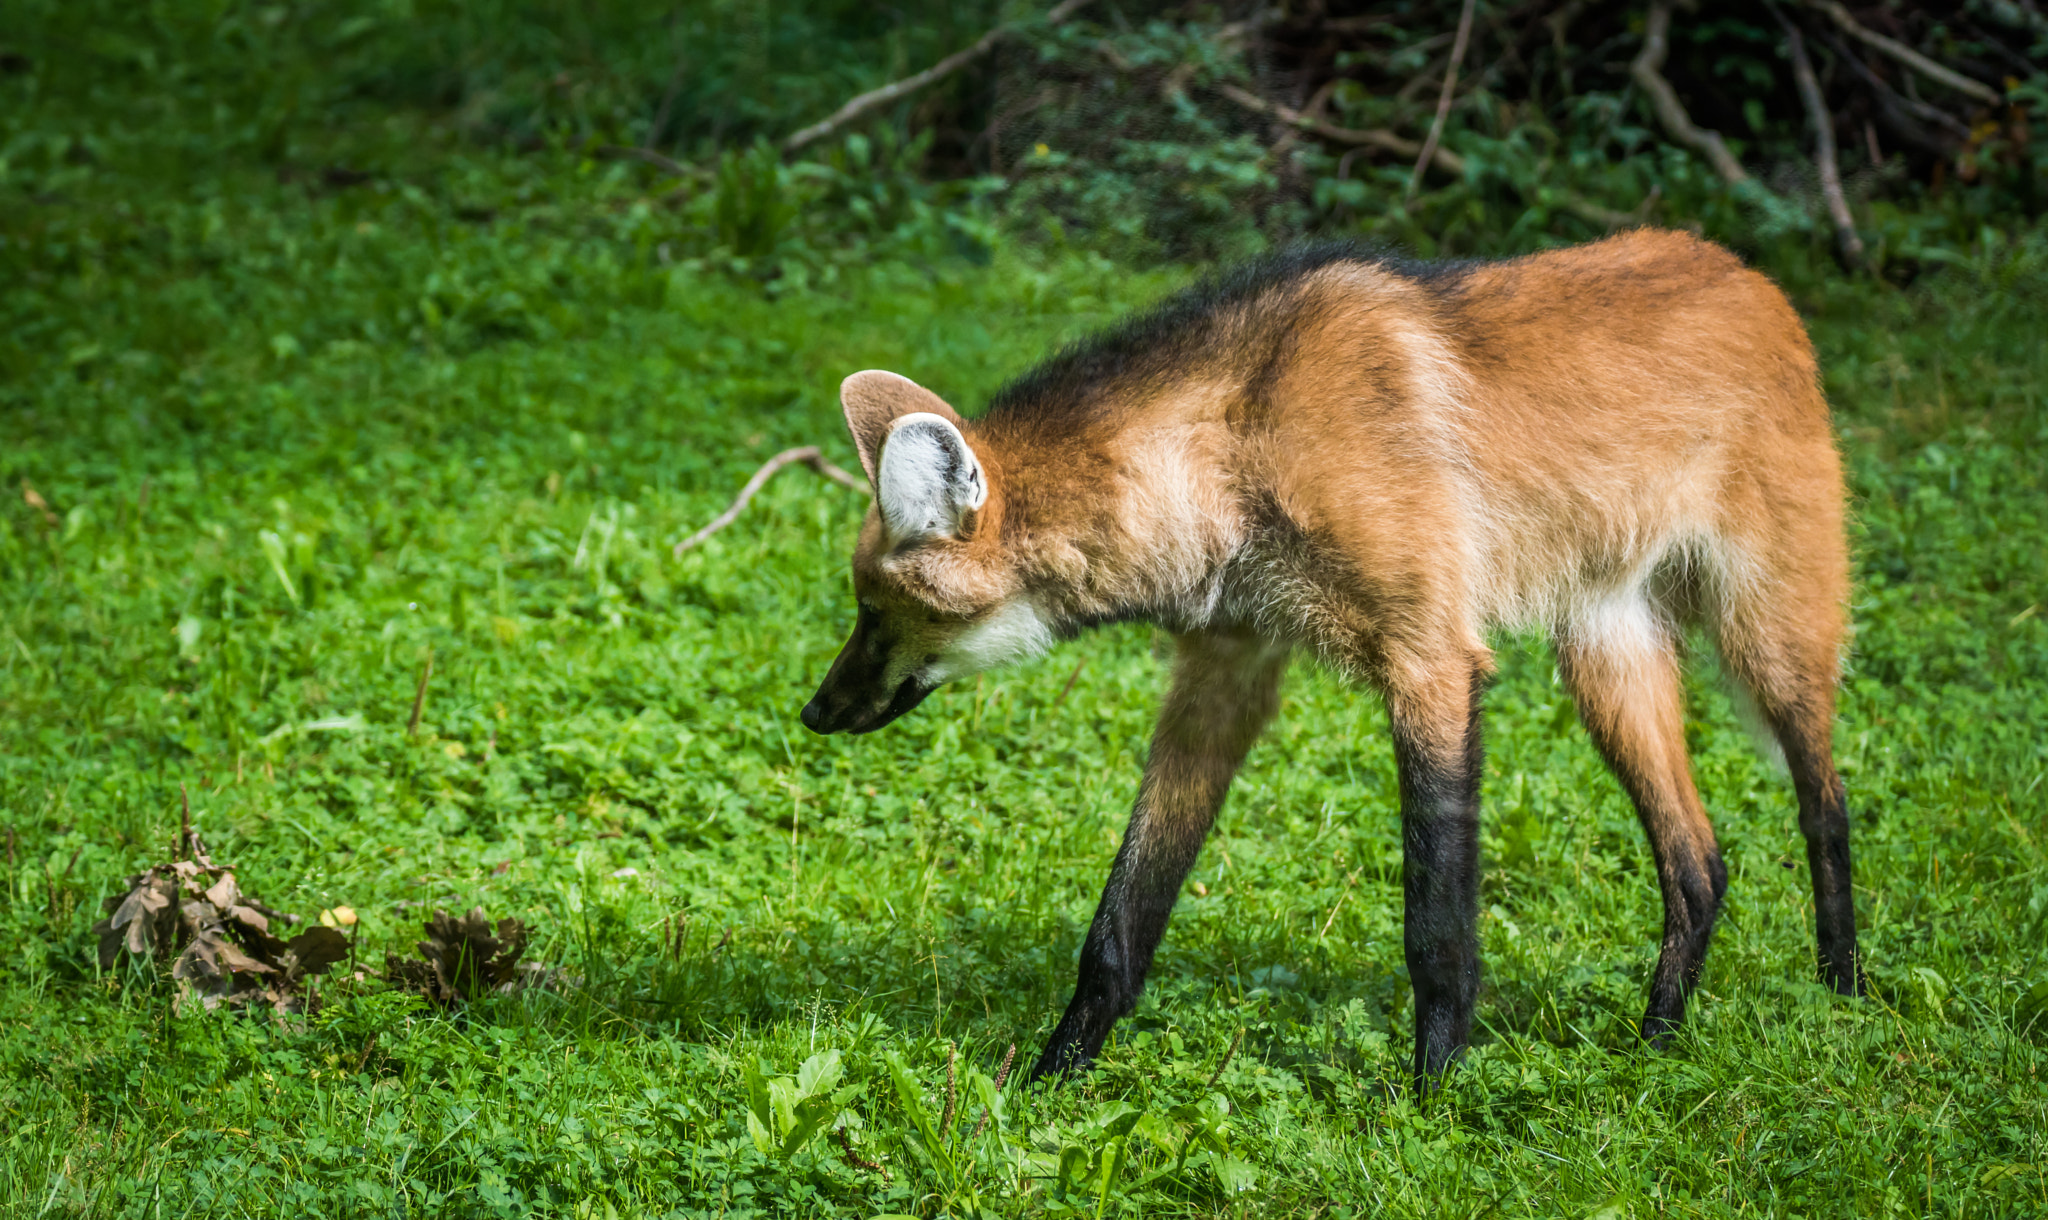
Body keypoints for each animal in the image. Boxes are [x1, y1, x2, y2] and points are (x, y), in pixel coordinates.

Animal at [806, 229, 1867, 1088]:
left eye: (873, 611)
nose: (816, 712)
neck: (1233, 451)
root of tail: (1748, 273)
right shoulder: (1224, 667)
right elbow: (1124, 915)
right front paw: (1052, 1077)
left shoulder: (1429, 661)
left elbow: (1435, 924)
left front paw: (1433, 1097)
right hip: (1605, 651)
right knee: (1698, 862)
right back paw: (1656, 1043)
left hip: (1767, 629)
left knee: (1824, 799)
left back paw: (1844, 996)